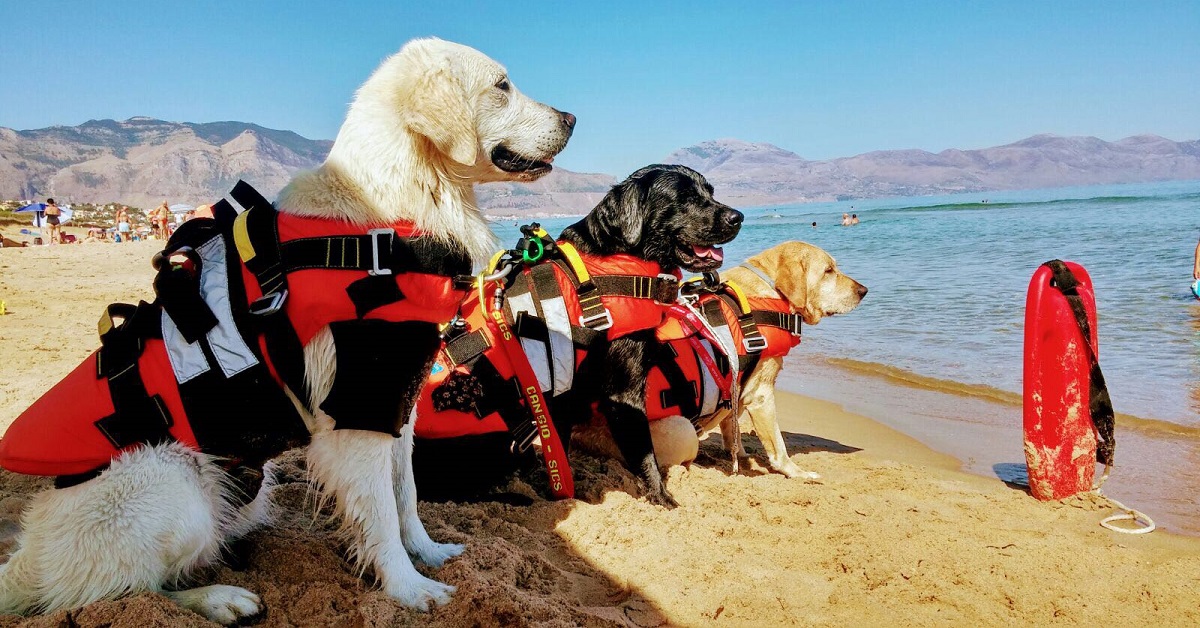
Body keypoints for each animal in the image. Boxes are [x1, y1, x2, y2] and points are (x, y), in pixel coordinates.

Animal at [0, 38, 576, 624]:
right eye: (502, 86)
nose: (572, 118)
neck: (395, 215)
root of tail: (27, 560)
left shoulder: (396, 404)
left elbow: (407, 495)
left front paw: (429, 553)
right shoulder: (356, 414)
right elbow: (381, 515)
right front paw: (408, 588)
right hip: (170, 481)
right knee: (122, 591)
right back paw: (219, 598)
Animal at [417, 163, 744, 506]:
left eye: (710, 191)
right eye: (684, 197)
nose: (738, 217)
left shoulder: (566, 397)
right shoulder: (622, 393)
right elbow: (645, 453)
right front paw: (661, 496)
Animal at [571, 242, 864, 482]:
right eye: (828, 271)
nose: (864, 290)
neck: (768, 290)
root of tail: (580, 430)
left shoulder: (737, 386)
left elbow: (731, 427)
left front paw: (740, 453)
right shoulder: (761, 395)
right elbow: (778, 446)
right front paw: (796, 472)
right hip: (681, 430)